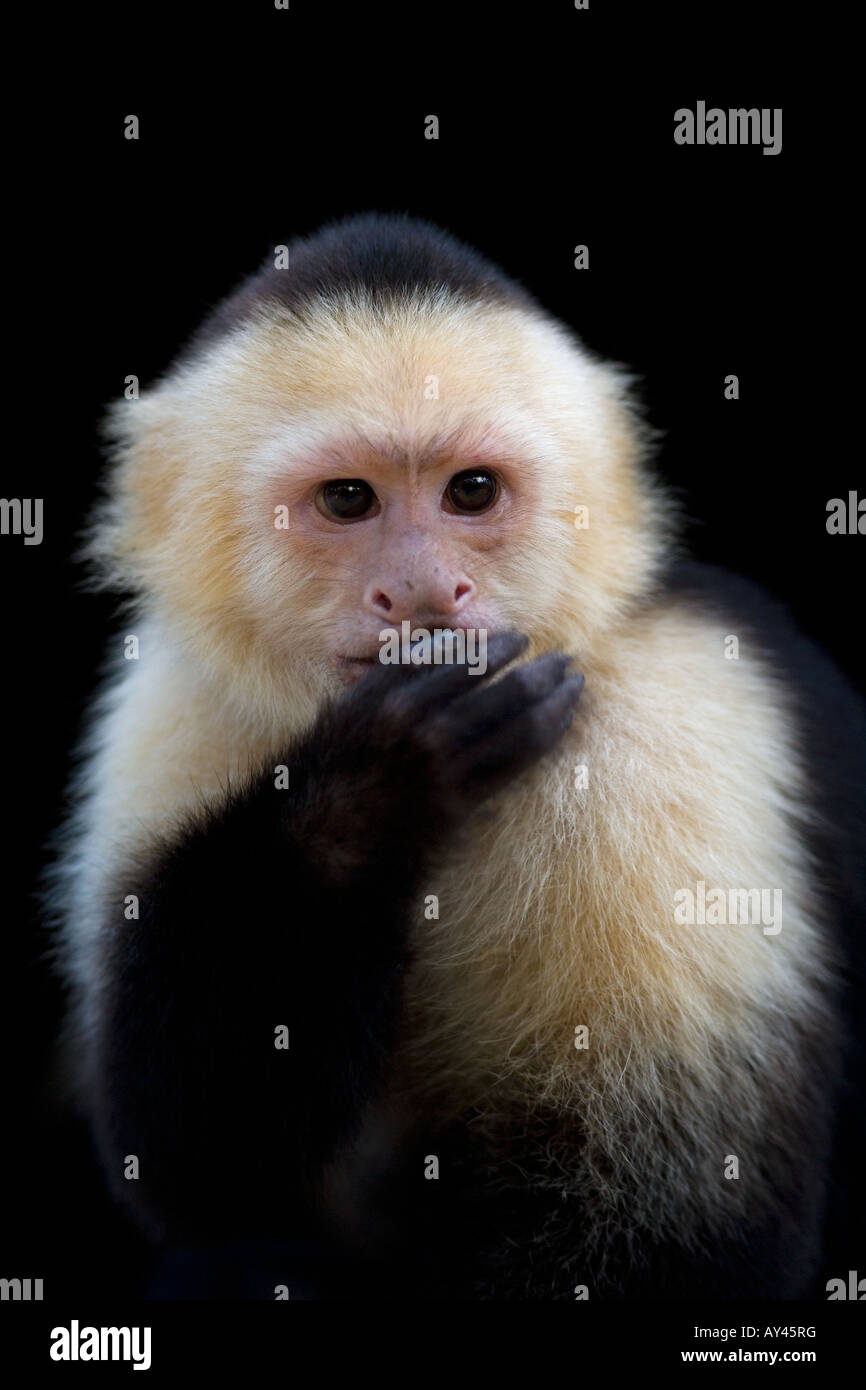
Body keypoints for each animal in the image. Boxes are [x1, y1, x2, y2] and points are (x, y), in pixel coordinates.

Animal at [48, 211, 866, 1295]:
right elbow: (198, 1172)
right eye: (348, 500)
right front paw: (378, 785)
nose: (425, 590)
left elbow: (680, 1238)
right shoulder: (164, 712)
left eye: (470, 492)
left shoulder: (669, 719)